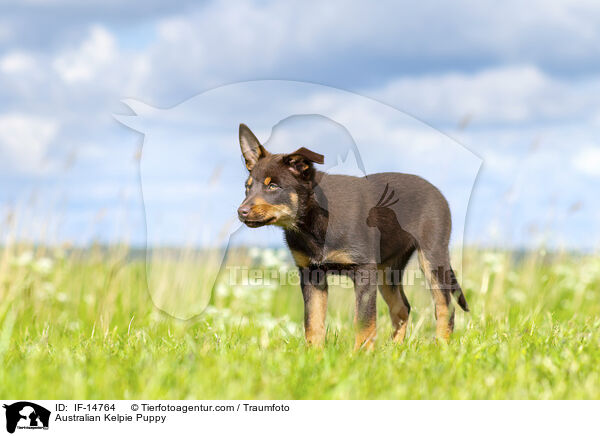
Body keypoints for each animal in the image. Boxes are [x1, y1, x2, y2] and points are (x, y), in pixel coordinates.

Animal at [236, 123, 468, 350]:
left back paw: (440, 348)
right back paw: (395, 351)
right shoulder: (311, 274)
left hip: (432, 257)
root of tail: (437, 192)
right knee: (402, 307)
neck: (313, 220)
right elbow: (313, 323)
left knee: (445, 306)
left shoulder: (363, 270)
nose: (241, 212)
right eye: (247, 188)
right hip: (387, 268)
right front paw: (314, 356)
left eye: (273, 186)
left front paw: (361, 356)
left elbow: (364, 322)